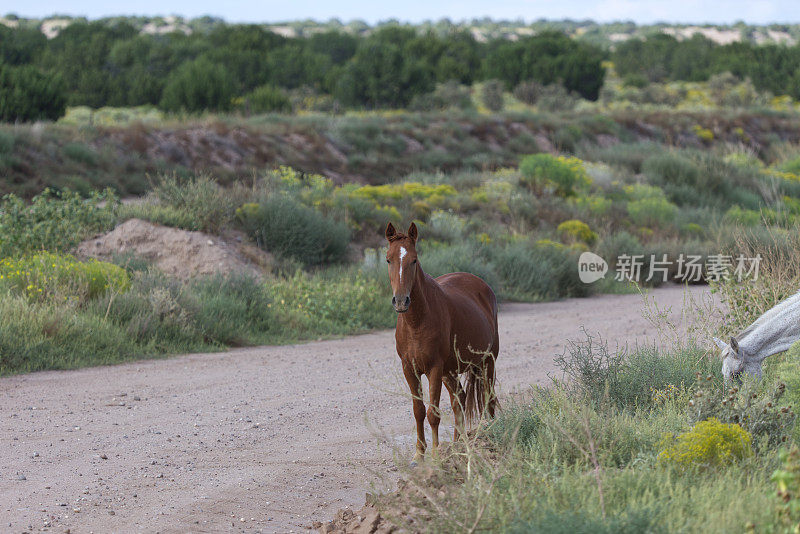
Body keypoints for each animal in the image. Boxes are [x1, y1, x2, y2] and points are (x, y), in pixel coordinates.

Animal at [384, 222, 496, 464]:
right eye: (388, 259)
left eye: (414, 260)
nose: (401, 301)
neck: (417, 322)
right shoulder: (410, 369)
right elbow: (418, 410)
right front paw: (419, 454)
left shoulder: (434, 368)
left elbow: (433, 413)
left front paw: (435, 455)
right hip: (450, 372)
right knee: (459, 400)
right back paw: (457, 446)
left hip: (487, 362)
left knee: (488, 398)